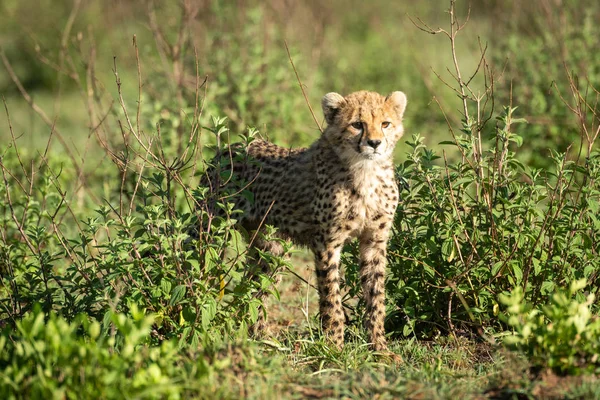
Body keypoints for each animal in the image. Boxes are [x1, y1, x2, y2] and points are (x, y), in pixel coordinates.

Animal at [206, 90, 408, 350]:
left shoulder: (374, 240)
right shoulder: (327, 242)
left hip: (272, 250)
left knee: (254, 290)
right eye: (357, 125)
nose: (374, 143)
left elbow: (376, 296)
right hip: (210, 229)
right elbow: (331, 296)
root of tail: (232, 146)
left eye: (385, 124)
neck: (365, 169)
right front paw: (334, 346)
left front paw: (380, 347)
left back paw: (261, 337)